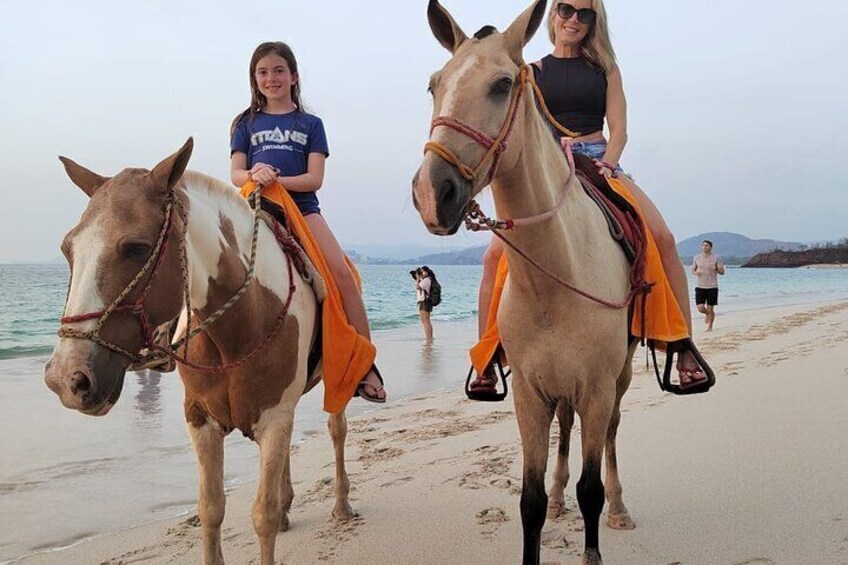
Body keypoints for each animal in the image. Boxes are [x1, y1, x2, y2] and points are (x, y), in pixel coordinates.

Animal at [44, 138, 354, 564]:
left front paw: (279, 512)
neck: (238, 325)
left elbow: (263, 515)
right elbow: (211, 510)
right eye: (67, 248)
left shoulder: (273, 417)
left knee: (336, 431)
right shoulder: (201, 419)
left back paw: (341, 504)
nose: (66, 379)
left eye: (136, 248)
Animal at [414, 1, 640, 564]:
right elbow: (531, 500)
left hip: (619, 378)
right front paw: (550, 500)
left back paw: (621, 508)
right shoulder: (530, 394)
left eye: (500, 85)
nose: (432, 193)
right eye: (434, 85)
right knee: (566, 430)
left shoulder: (597, 387)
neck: (554, 278)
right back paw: (562, 498)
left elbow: (590, 489)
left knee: (610, 435)